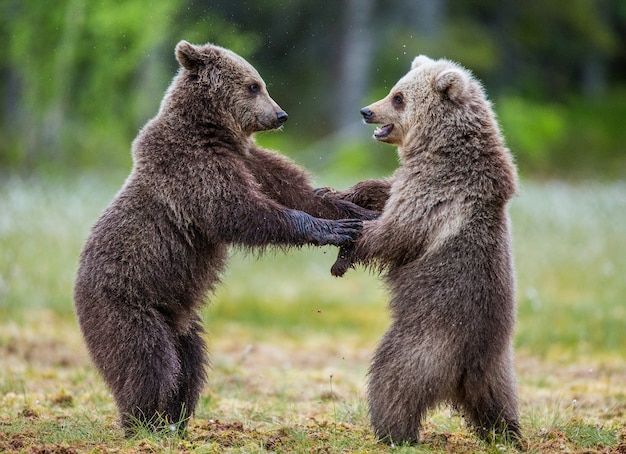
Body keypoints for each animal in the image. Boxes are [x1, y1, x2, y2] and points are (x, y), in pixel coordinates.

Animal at [74, 41, 376, 432]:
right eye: (253, 85)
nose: (280, 115)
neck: (213, 132)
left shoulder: (250, 161)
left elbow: (302, 192)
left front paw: (360, 214)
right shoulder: (194, 168)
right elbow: (236, 211)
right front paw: (329, 229)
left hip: (180, 319)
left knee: (190, 365)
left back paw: (176, 420)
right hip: (126, 303)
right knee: (147, 361)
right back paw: (142, 421)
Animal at [330, 55, 520, 446]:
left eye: (398, 97)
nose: (366, 111)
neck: (439, 147)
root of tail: (467, 367)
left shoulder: (438, 191)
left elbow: (396, 231)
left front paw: (346, 249)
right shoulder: (416, 180)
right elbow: (386, 190)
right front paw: (344, 192)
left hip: (426, 342)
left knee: (393, 380)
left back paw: (393, 431)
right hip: (497, 368)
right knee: (499, 401)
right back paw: (508, 435)